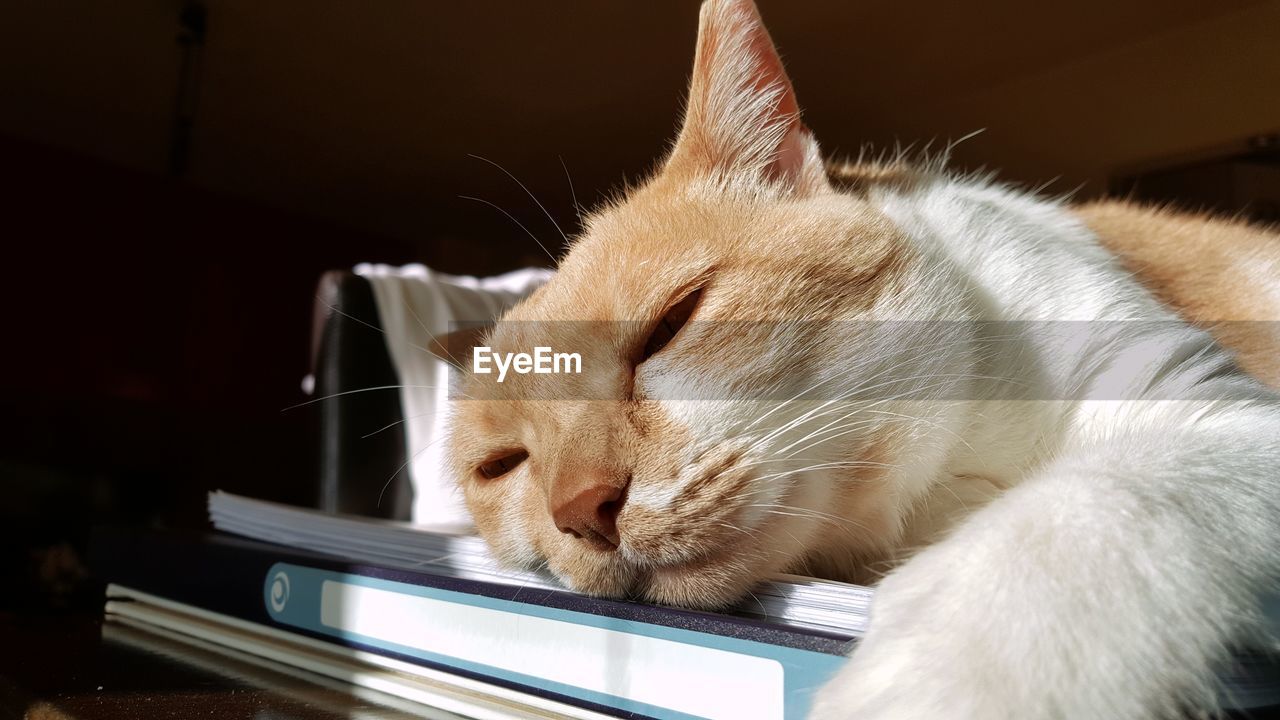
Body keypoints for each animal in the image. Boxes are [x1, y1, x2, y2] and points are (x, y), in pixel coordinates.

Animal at [440, 2, 1280, 712]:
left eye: (669, 325)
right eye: (503, 464)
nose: (580, 510)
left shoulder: (1219, 415)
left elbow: (1082, 512)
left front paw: (941, 682)